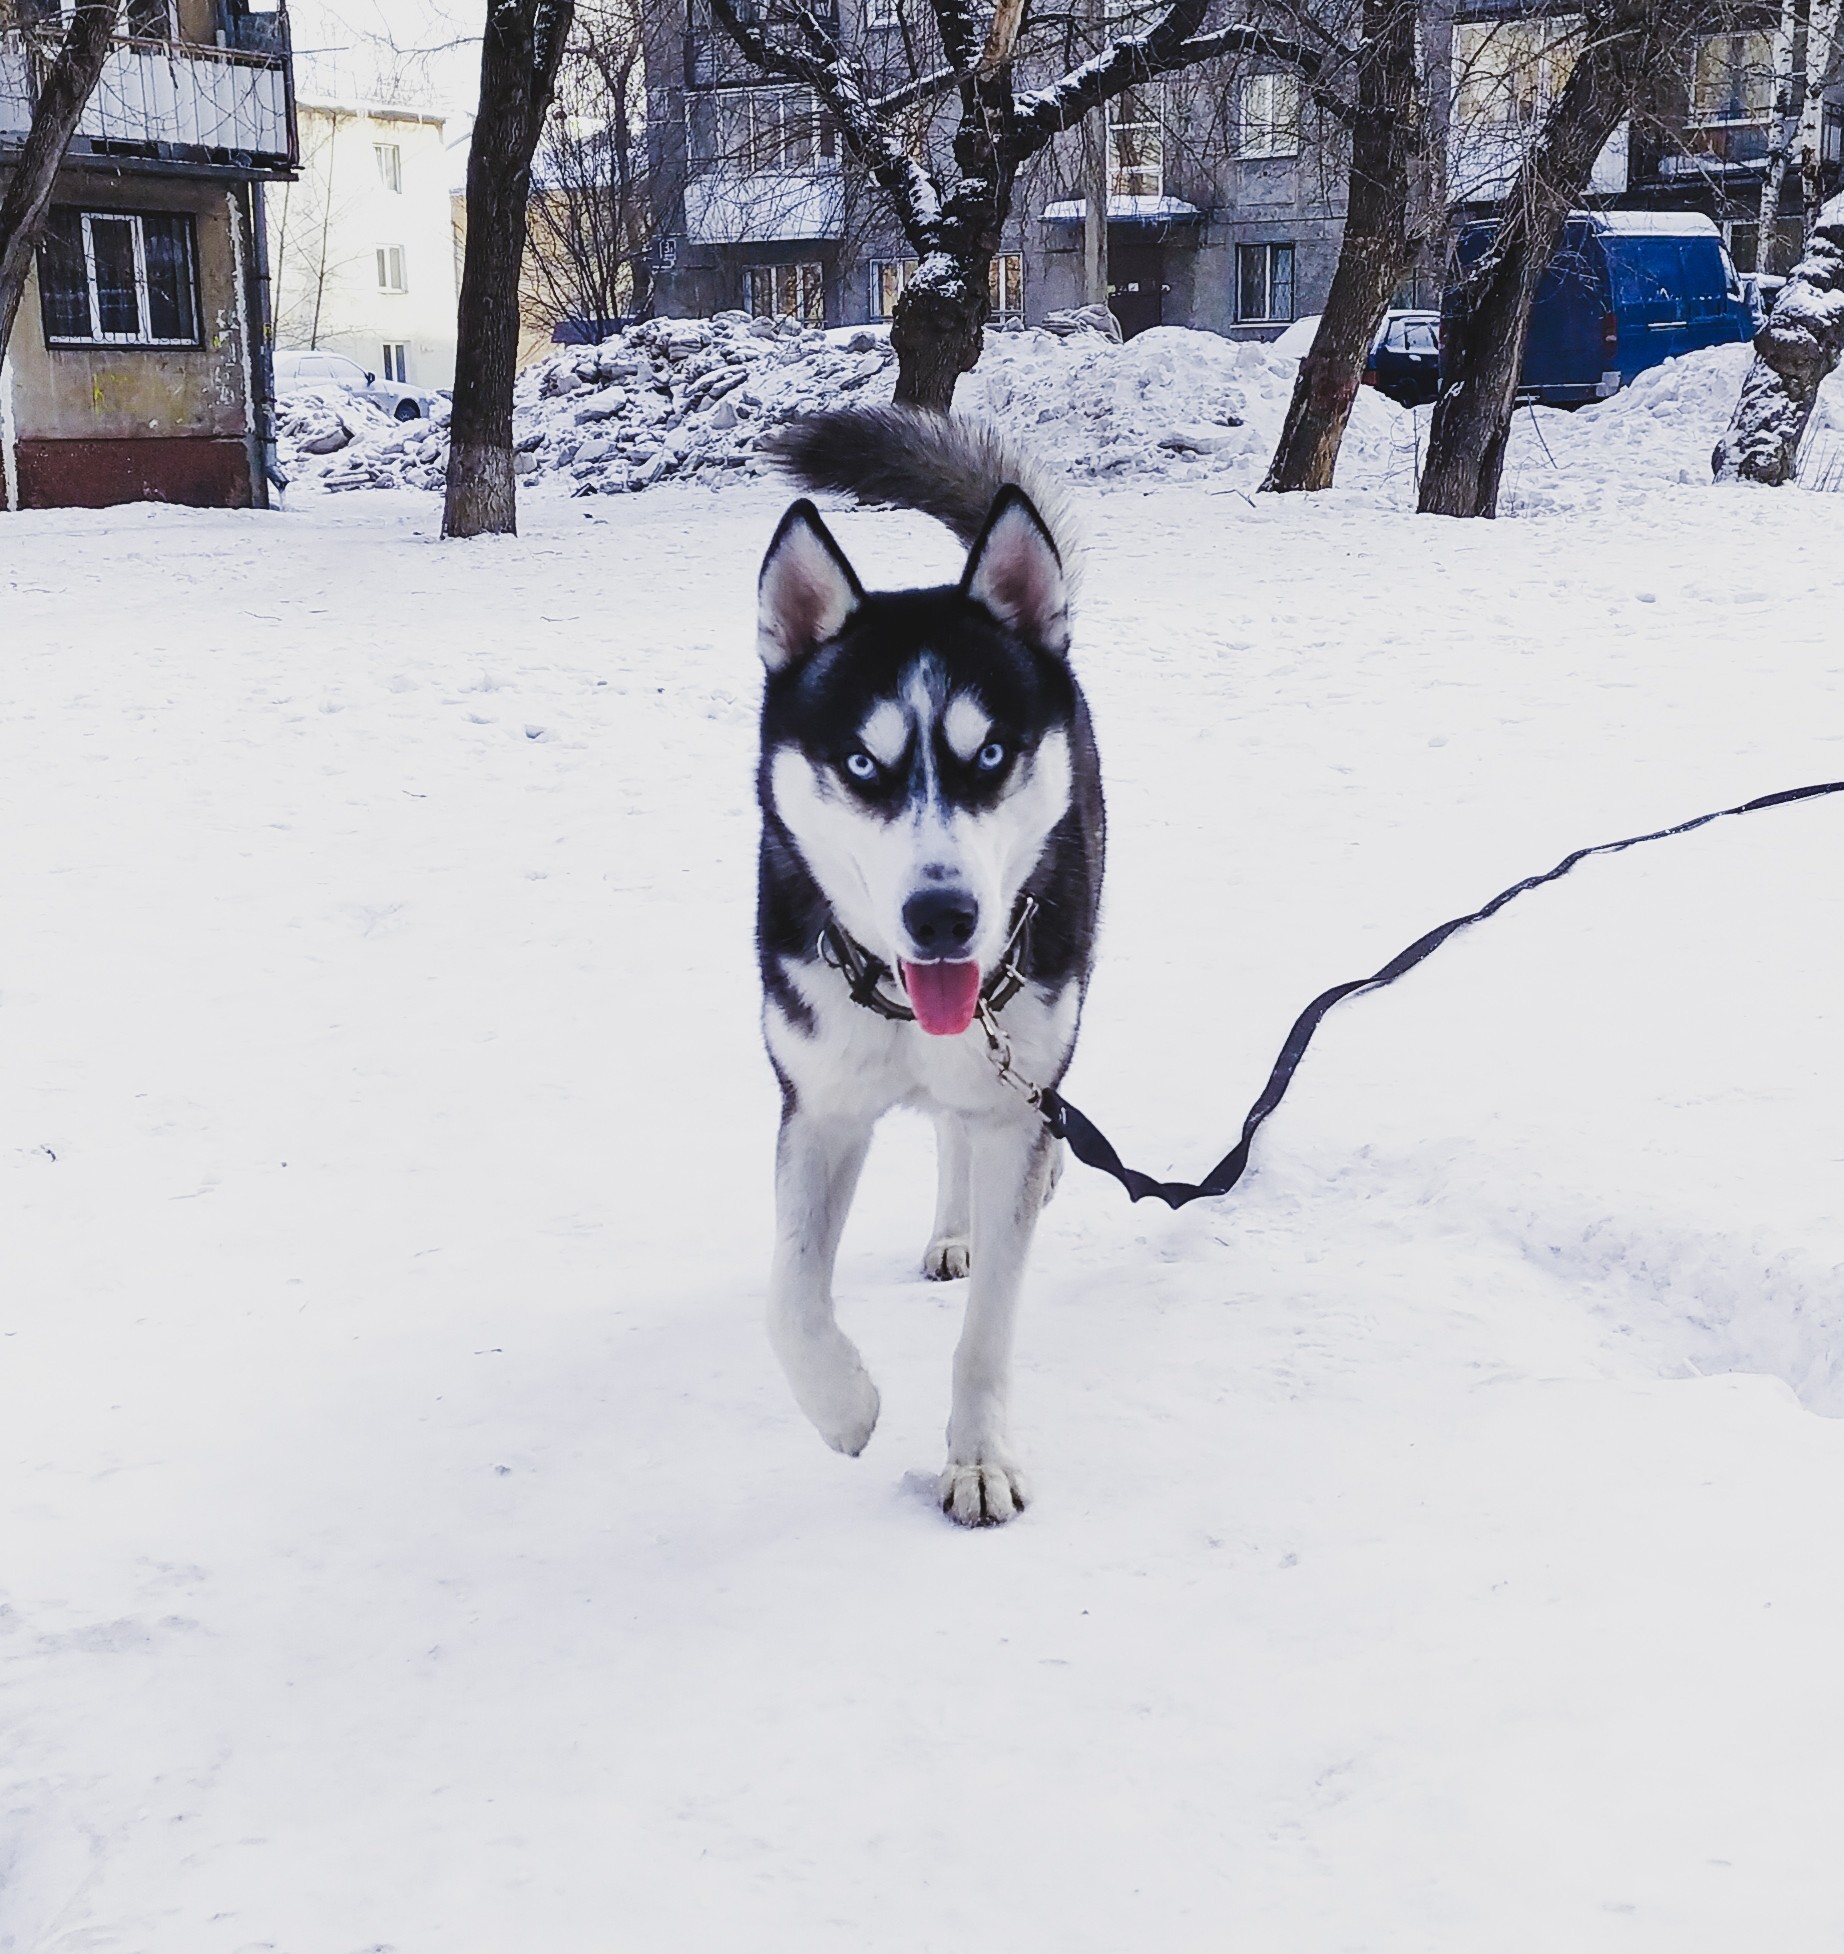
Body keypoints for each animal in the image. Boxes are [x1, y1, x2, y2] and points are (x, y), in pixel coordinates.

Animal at [754, 412, 1101, 1524]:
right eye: (862, 764)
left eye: (988, 754)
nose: (943, 916)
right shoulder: (816, 1102)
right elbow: (789, 1293)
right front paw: (844, 1405)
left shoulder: (1016, 1090)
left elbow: (989, 1327)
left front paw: (977, 1456)